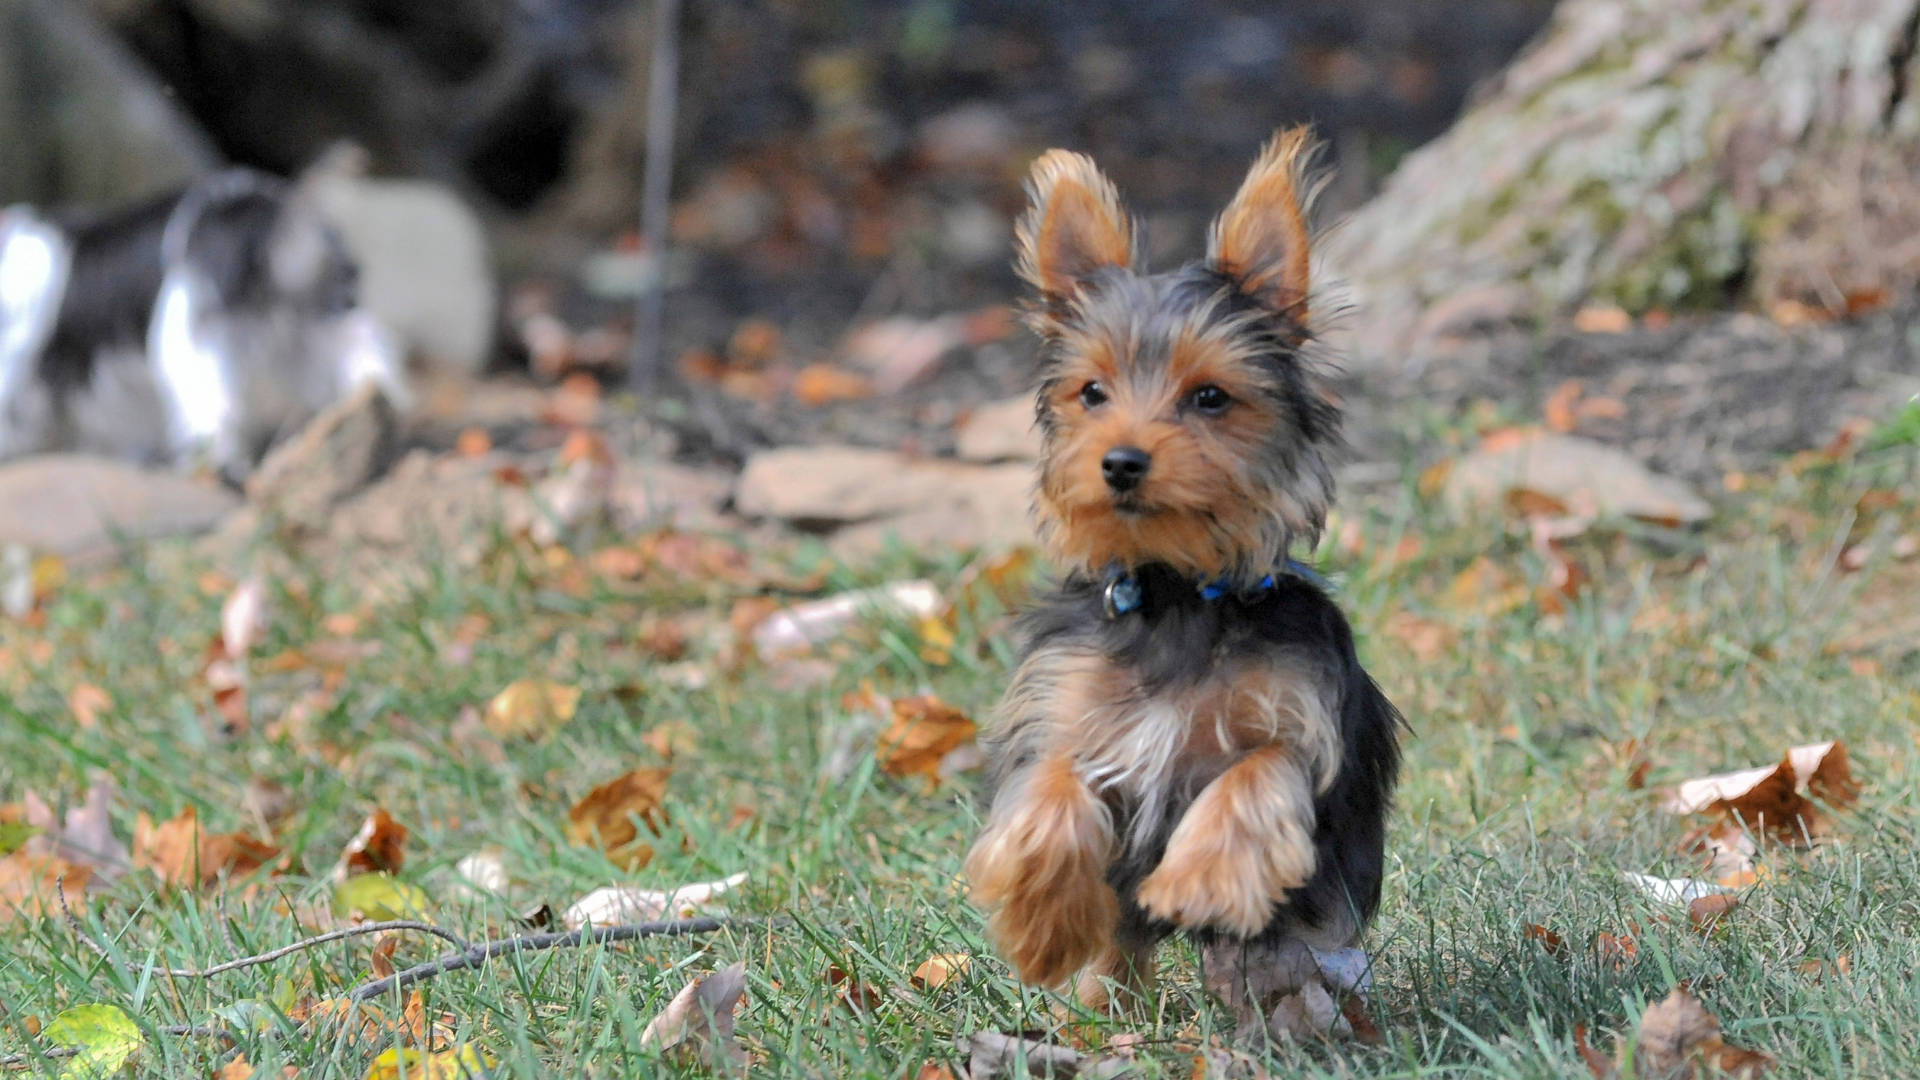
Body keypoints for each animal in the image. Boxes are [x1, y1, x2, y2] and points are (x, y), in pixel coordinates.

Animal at [0, 170, 405, 480]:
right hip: (314, 318)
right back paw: (376, 408)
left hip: (191, 338)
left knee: (212, 410)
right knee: (361, 347)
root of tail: (257, 210)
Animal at [967, 130, 1405, 1022]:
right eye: (1092, 393)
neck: (1175, 589)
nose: (1121, 462)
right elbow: (1052, 784)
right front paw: (1041, 922)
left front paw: (1202, 881)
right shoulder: (1073, 716)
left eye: (1210, 398)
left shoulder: (1302, 718)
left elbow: (1256, 773)